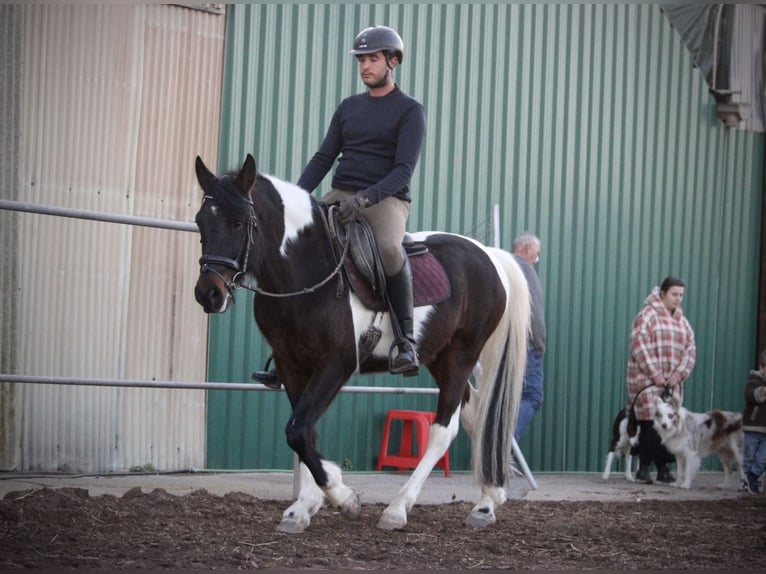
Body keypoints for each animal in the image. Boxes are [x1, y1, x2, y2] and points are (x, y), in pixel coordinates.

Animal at [192, 155, 532, 532]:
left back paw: (399, 509)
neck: (305, 265)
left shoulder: (336, 363)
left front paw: (343, 497)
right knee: (474, 415)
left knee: (445, 429)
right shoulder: (290, 363)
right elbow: (302, 430)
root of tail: (489, 256)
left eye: (238, 223)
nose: (208, 294)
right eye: (200, 222)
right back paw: (488, 500)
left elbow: (297, 430)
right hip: (439, 358)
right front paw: (303, 507)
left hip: (462, 354)